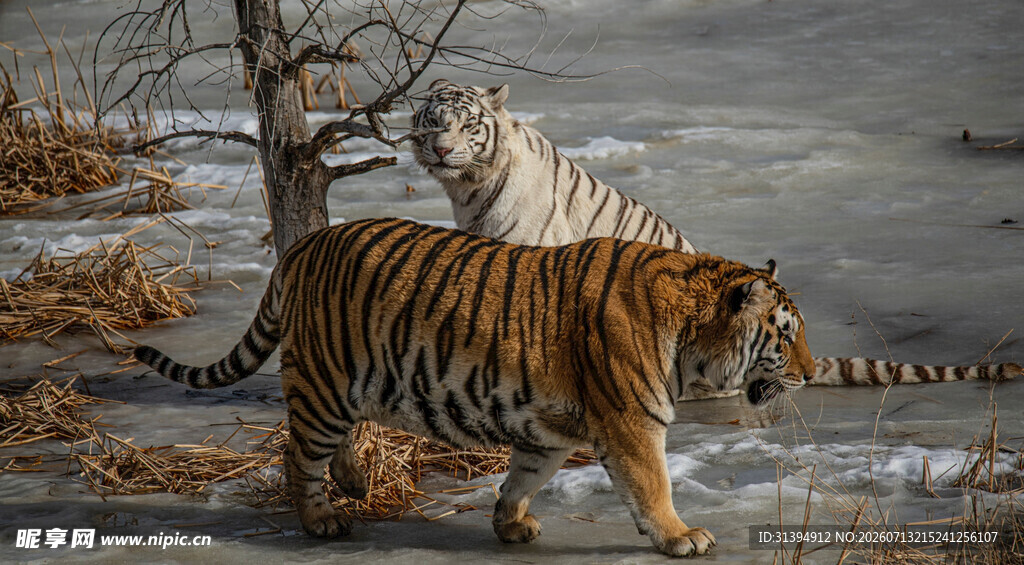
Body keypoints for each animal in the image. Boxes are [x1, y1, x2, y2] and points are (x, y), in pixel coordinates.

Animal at [135, 217, 817, 557]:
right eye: (785, 337)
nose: (811, 375)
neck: (691, 336)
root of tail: (301, 246)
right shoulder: (631, 423)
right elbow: (653, 487)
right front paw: (681, 537)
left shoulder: (550, 430)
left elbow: (523, 477)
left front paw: (509, 525)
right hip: (324, 383)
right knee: (296, 454)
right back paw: (322, 519)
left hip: (344, 386)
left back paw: (354, 484)